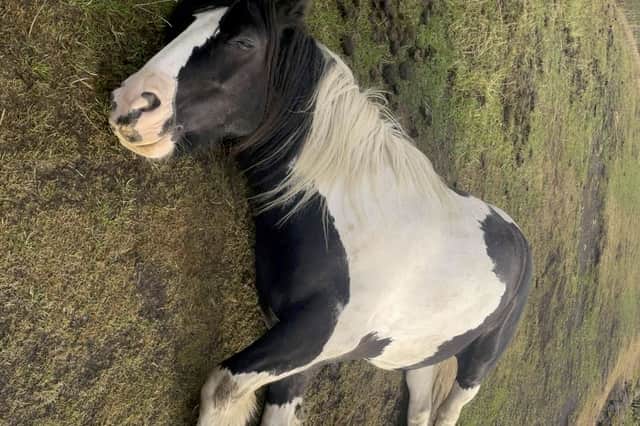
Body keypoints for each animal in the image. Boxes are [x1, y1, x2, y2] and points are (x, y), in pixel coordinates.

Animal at [108, 1, 533, 425]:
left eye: (244, 42)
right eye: (185, 19)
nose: (131, 104)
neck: (349, 222)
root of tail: (518, 240)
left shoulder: (312, 338)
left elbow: (221, 390)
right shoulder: (300, 352)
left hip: (478, 363)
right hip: (420, 358)